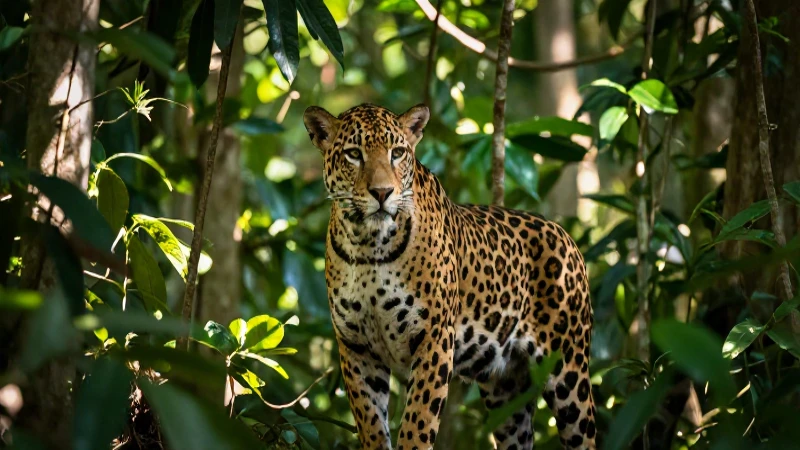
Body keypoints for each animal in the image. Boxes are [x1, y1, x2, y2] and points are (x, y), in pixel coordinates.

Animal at [303, 103, 596, 450]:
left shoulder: (433, 335)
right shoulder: (356, 346)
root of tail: (567, 237)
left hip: (569, 371)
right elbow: (371, 423)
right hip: (506, 390)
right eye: (353, 154)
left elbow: (418, 422)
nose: (382, 192)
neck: (369, 245)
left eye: (397, 153)